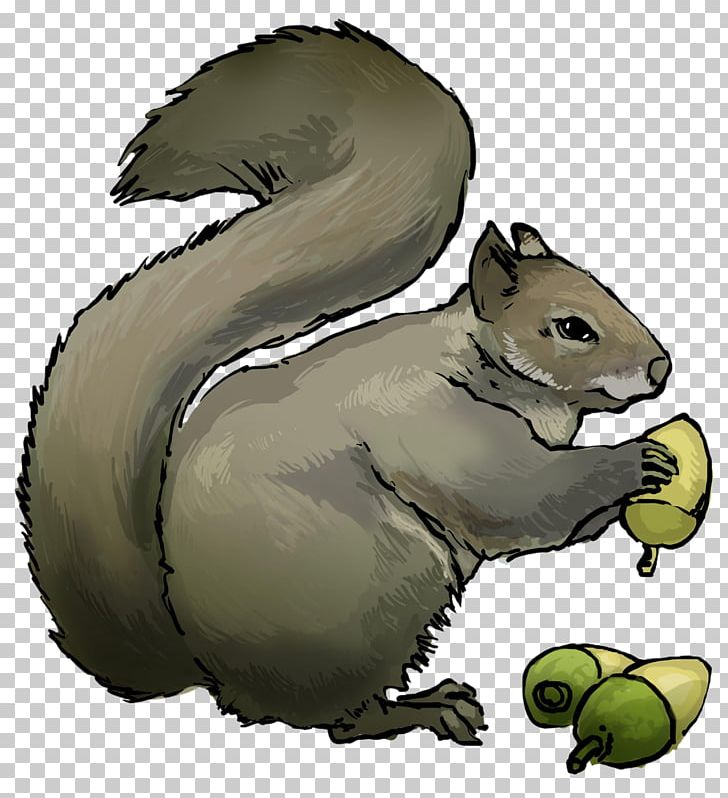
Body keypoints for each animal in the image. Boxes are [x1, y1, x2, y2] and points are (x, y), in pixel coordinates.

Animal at [18, 21, 679, 746]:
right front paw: (634, 460)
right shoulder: (429, 420)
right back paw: (424, 707)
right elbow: (516, 497)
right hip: (382, 587)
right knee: (344, 720)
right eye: (570, 327)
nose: (661, 367)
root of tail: (209, 667)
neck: (488, 366)